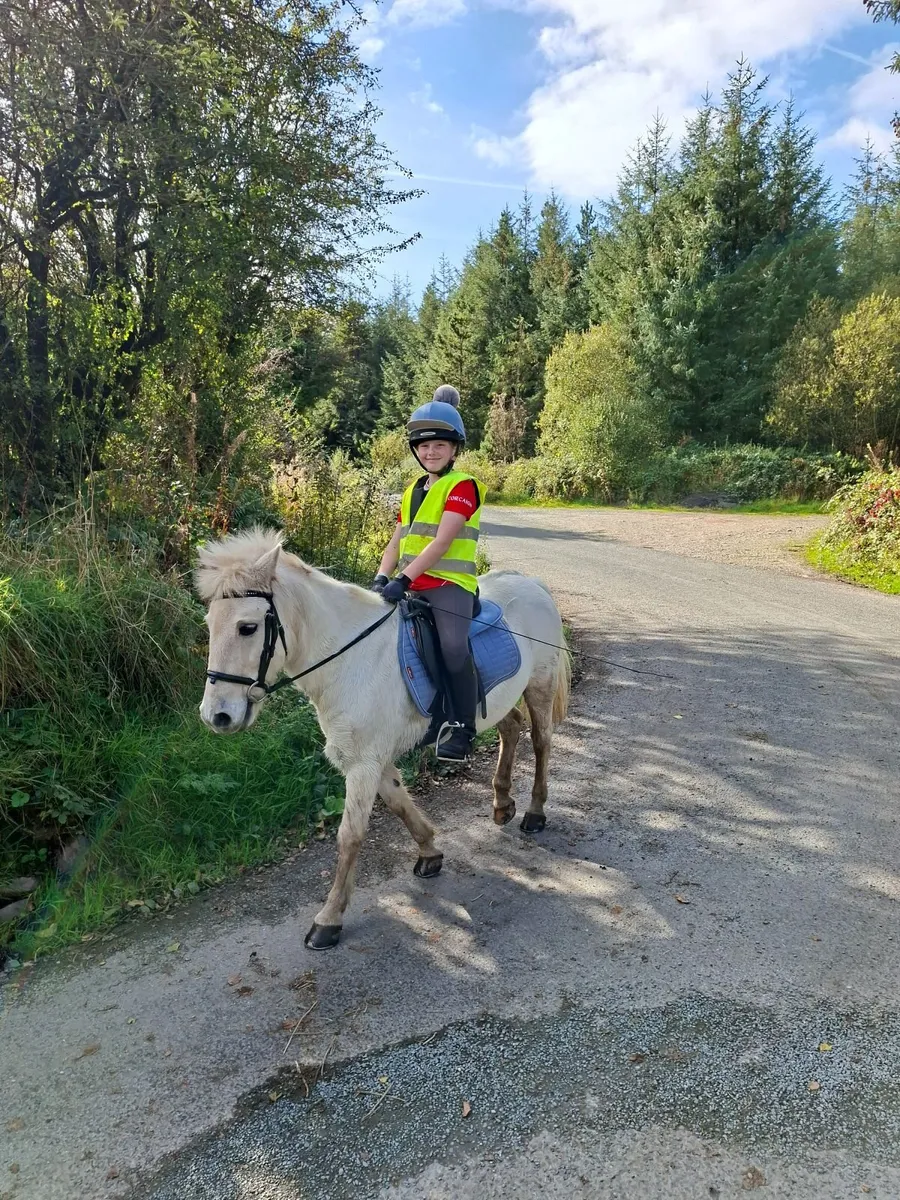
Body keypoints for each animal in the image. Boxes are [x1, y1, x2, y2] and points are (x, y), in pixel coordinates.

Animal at [195, 527, 571, 950]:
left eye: (247, 627)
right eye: (210, 623)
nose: (217, 716)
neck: (348, 659)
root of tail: (532, 583)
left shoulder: (364, 763)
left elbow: (350, 835)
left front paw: (329, 919)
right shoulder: (370, 758)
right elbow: (398, 803)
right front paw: (429, 852)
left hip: (540, 686)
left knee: (541, 741)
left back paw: (534, 813)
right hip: (498, 700)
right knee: (512, 728)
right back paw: (503, 803)